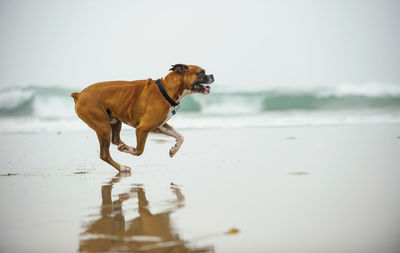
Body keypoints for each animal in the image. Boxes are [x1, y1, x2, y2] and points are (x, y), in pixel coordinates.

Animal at [72, 63, 216, 172]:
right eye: (201, 72)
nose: (212, 75)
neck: (165, 89)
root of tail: (79, 95)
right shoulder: (142, 128)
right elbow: (139, 151)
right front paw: (132, 150)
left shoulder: (160, 126)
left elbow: (180, 136)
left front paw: (174, 150)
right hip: (103, 127)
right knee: (104, 154)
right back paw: (122, 166)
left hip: (115, 121)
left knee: (116, 140)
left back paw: (124, 147)